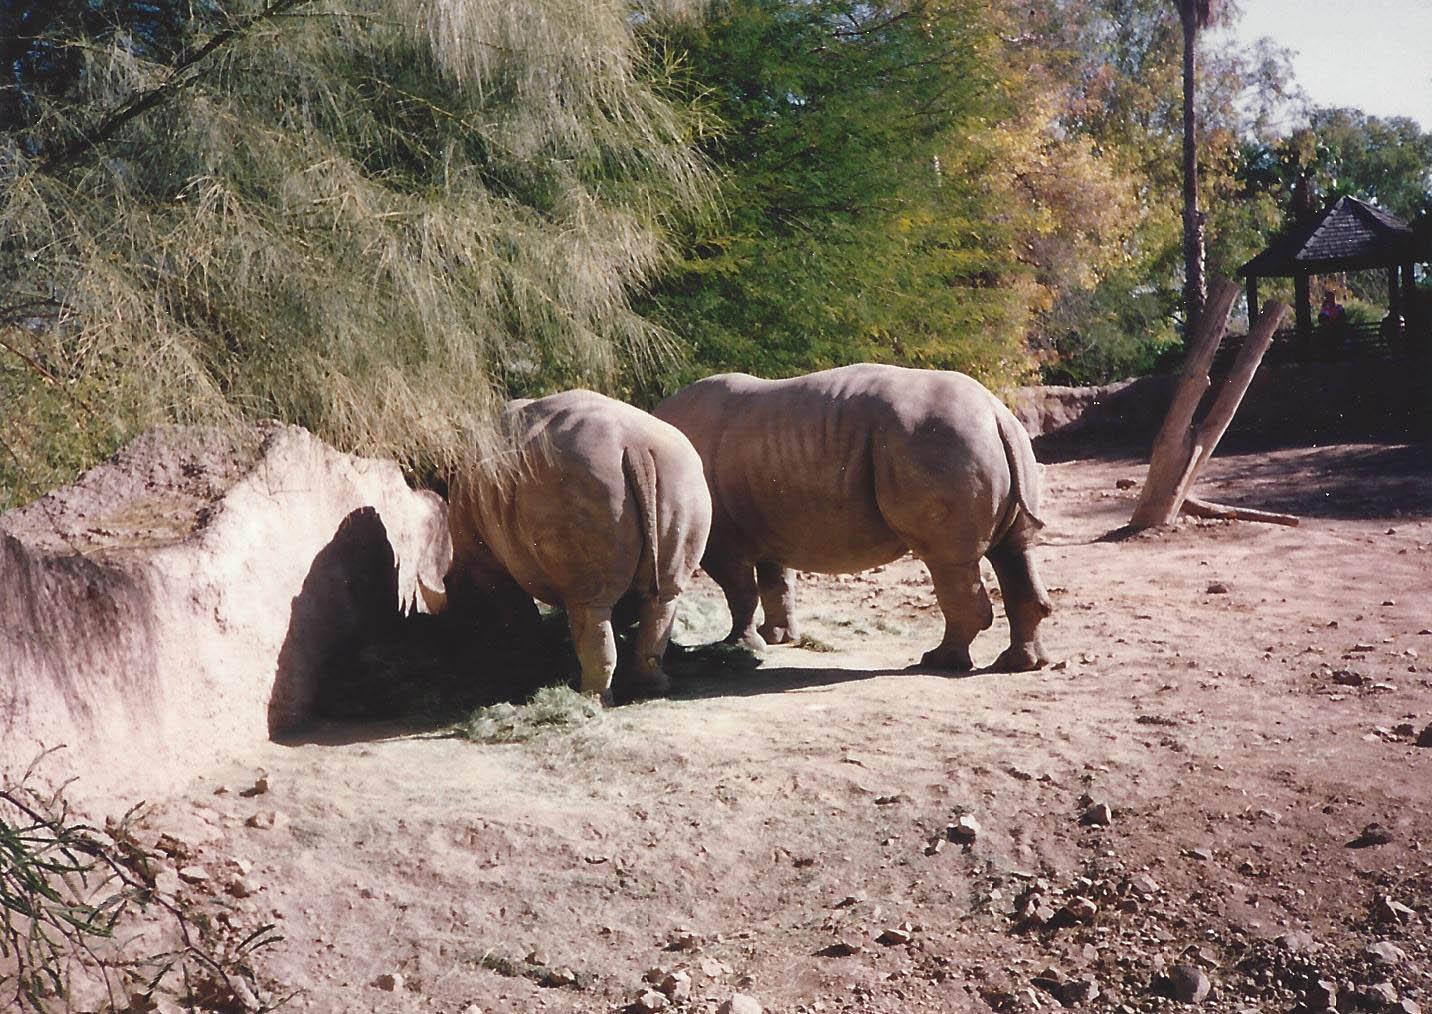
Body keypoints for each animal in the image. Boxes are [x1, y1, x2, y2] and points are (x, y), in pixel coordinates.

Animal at [444, 390, 712, 704]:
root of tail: (636, 448)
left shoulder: (488, 565)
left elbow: (519, 614)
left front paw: (529, 669)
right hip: (682, 480)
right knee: (662, 597)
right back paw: (652, 689)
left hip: (581, 482)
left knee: (589, 605)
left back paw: (590, 698)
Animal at [654, 364, 1051, 672]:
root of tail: (997, 413)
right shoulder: (767, 521)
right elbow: (776, 583)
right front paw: (777, 638)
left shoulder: (722, 537)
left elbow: (740, 590)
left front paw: (740, 645)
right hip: (990, 442)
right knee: (1015, 550)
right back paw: (1019, 664)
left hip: (943, 443)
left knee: (948, 560)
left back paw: (939, 663)